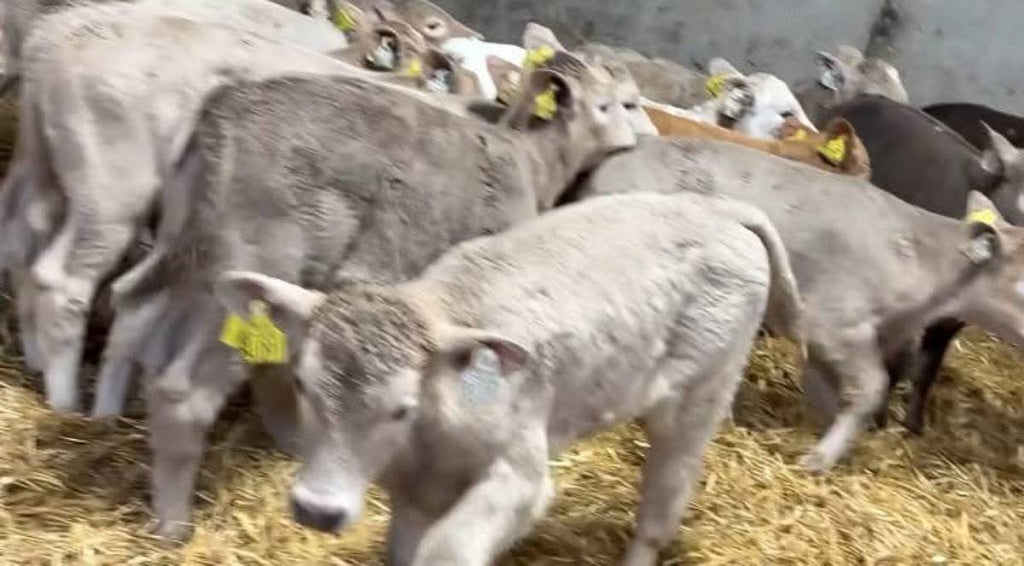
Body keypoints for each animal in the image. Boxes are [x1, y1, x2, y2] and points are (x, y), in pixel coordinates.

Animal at [101, 43, 637, 540]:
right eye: (611, 105)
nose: (631, 146)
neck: (534, 161)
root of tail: (223, 116)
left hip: (187, 246)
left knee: (132, 301)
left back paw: (107, 412)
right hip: (248, 260)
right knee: (184, 391)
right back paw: (174, 525)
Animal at [213, 189, 803, 566]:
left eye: (401, 407)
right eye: (303, 384)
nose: (318, 510)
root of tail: (713, 206)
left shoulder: (521, 476)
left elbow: (448, 550)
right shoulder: (413, 495)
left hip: (701, 394)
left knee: (662, 506)